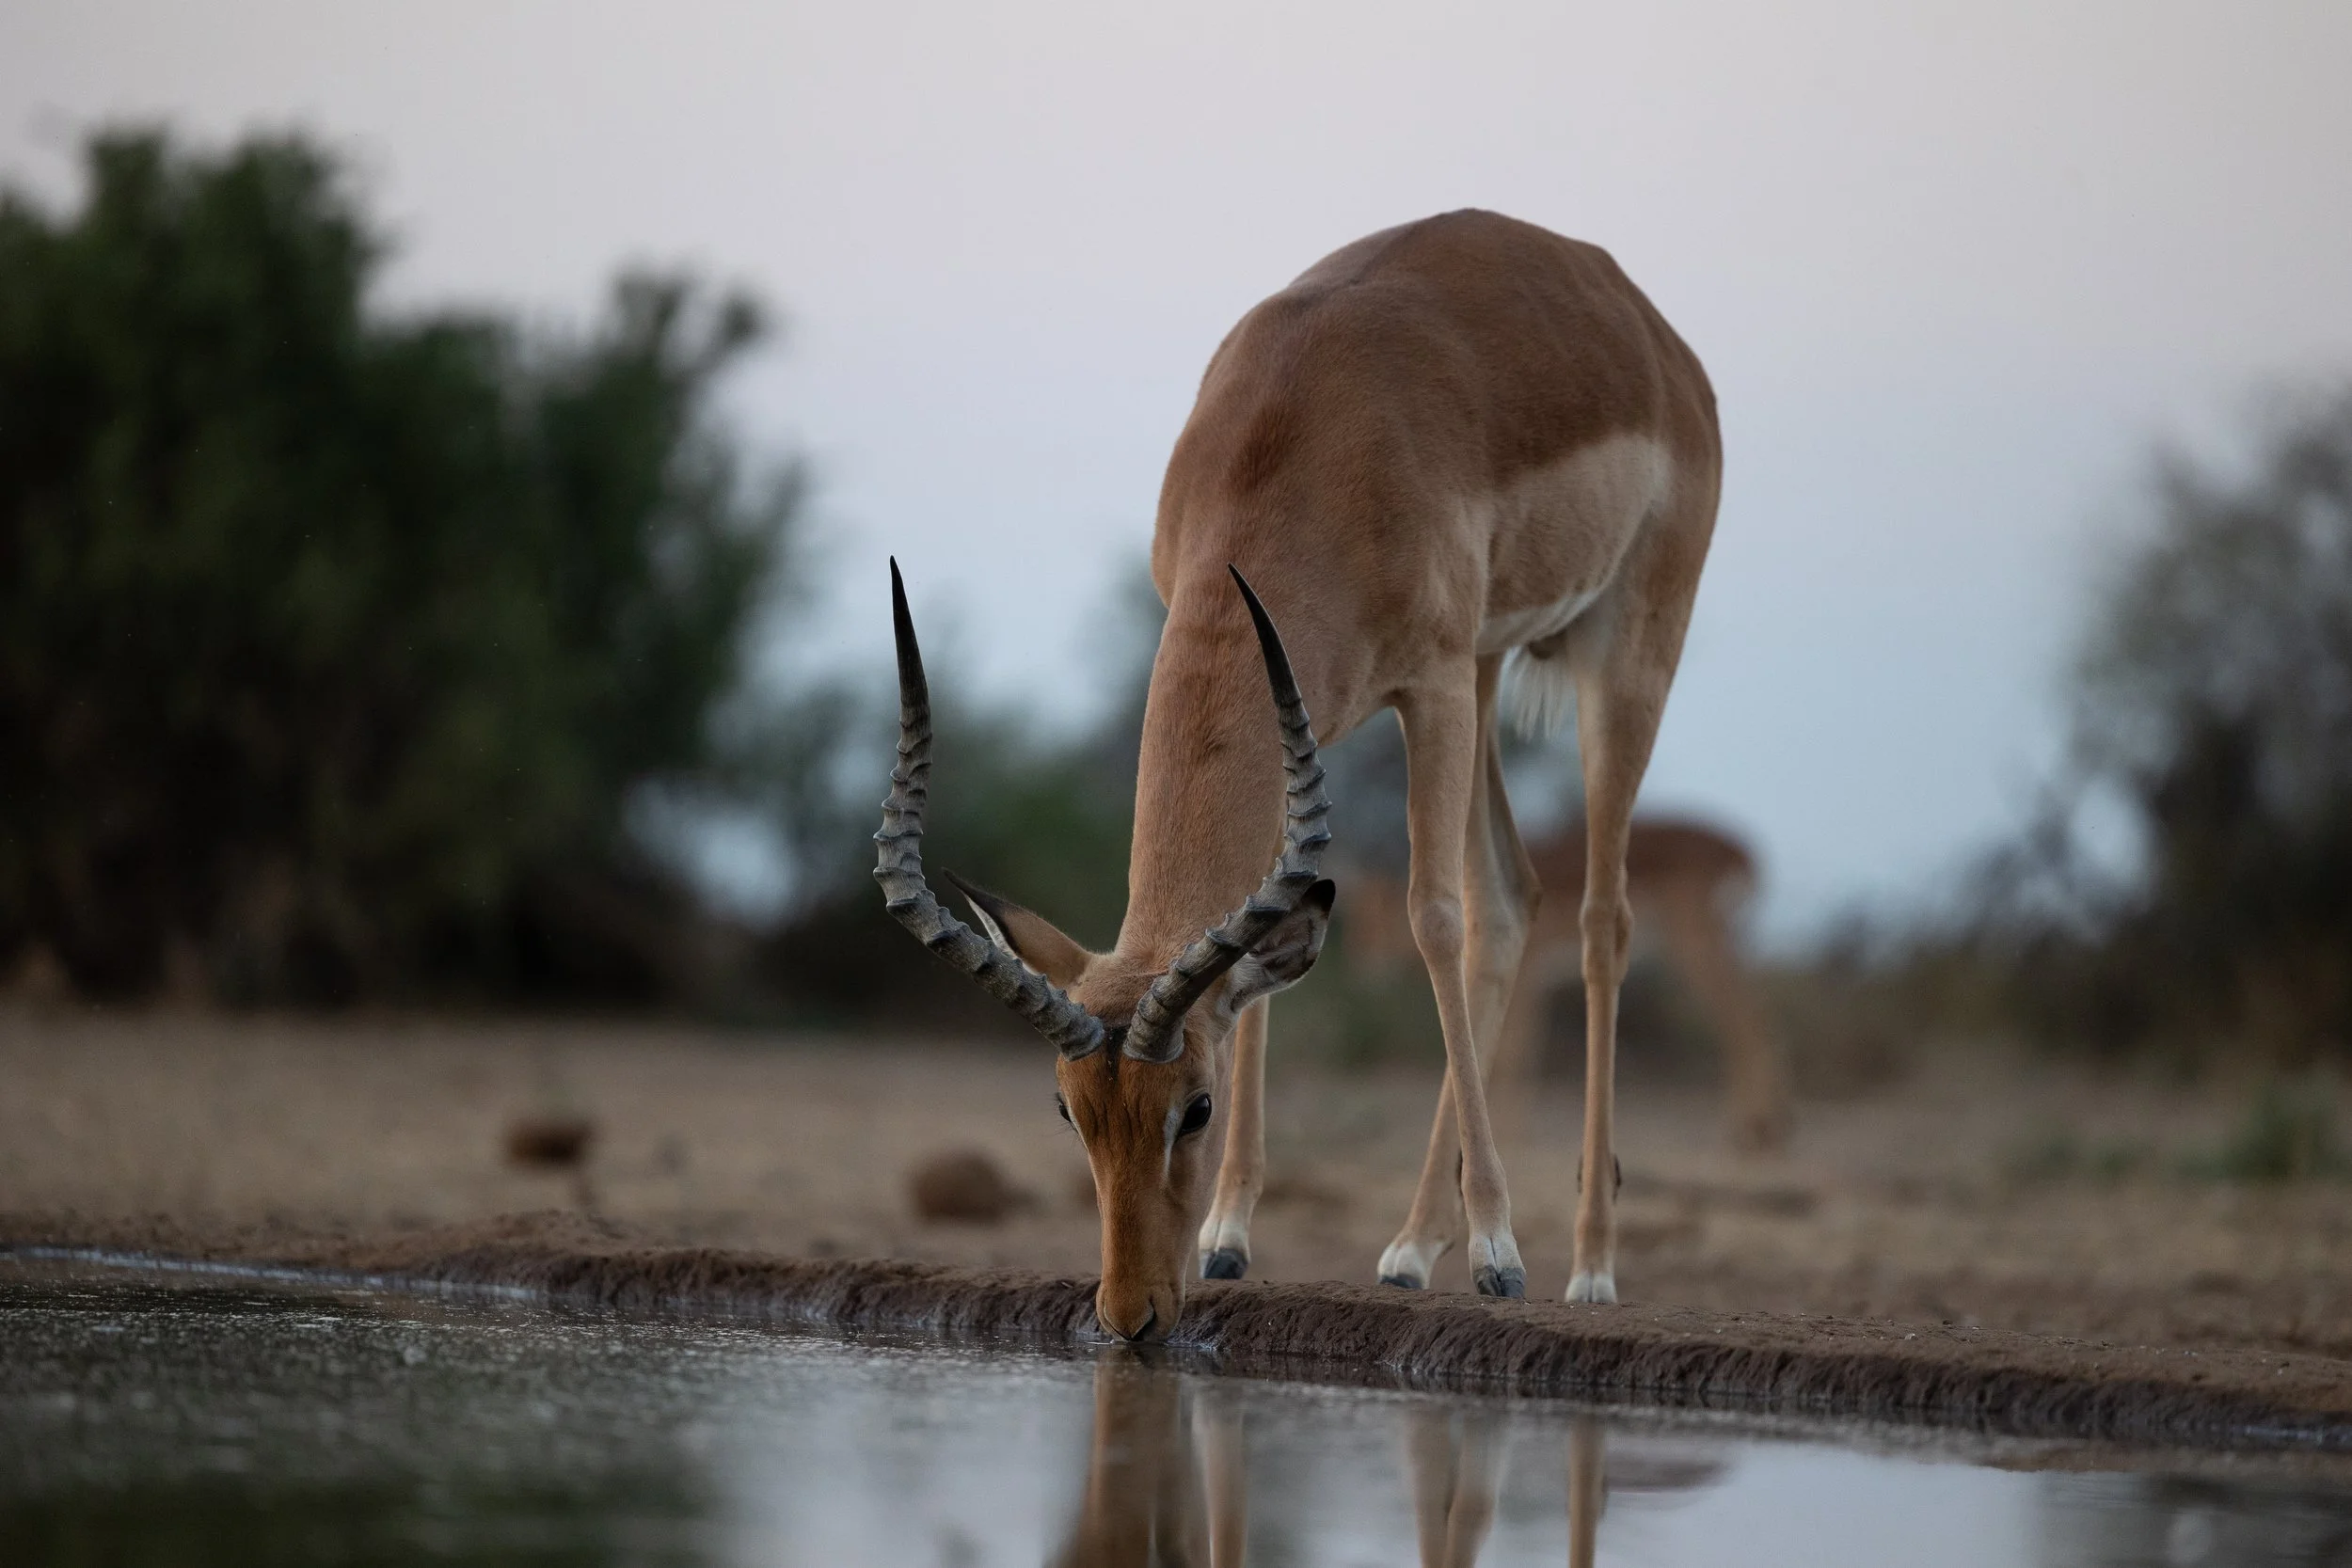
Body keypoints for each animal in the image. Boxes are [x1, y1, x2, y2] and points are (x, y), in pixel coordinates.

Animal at [879, 208, 1720, 1333]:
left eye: (1194, 1106)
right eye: (1070, 1107)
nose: (1130, 1313)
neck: (1300, 430)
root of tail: (1654, 336)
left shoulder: (1430, 681)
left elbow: (1430, 915)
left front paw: (1499, 1254)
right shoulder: (1336, 693)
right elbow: (1261, 947)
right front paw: (1231, 1235)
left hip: (1618, 651)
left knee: (1595, 919)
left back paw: (1581, 1264)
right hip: (1492, 663)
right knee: (1512, 896)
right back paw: (1410, 1246)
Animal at [1345, 816, 1792, 1152]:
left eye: (1374, 920)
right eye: (1359, 919)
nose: (1362, 962)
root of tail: (1743, 854)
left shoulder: (1526, 976)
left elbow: (1517, 1047)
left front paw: (1511, 1135)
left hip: (1696, 946)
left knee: (1745, 1018)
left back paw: (1748, 1134)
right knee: (1757, 1011)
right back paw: (1763, 1131)